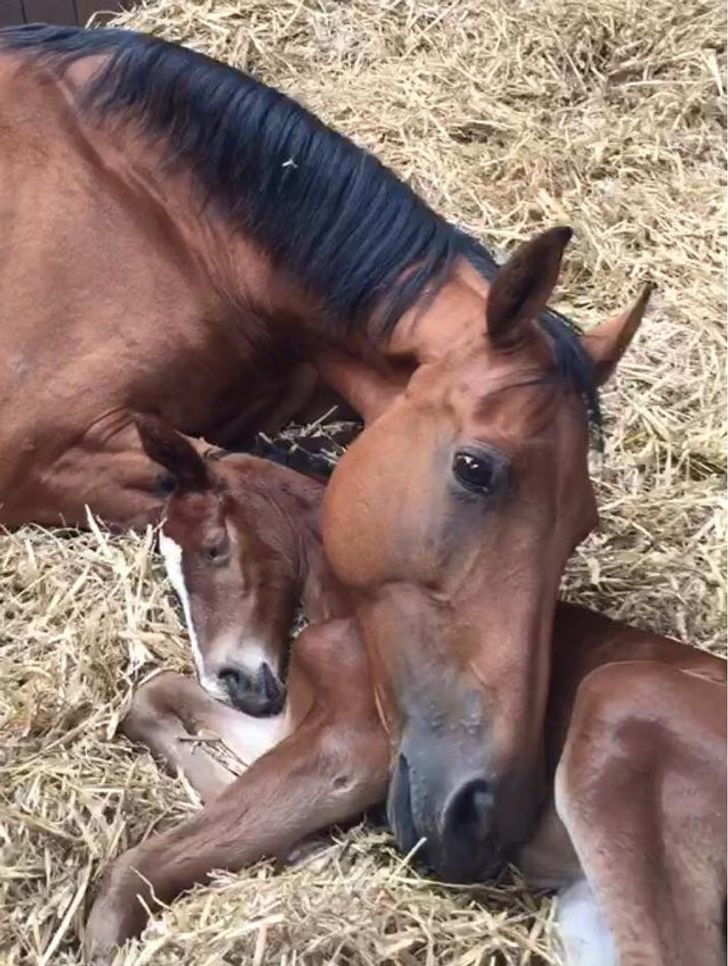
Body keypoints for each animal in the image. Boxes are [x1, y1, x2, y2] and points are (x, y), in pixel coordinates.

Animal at [0, 28, 652, 892]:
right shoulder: (46, 457)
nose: (483, 814)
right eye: (475, 469)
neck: (159, 213)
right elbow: (231, 478)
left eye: (583, 523)